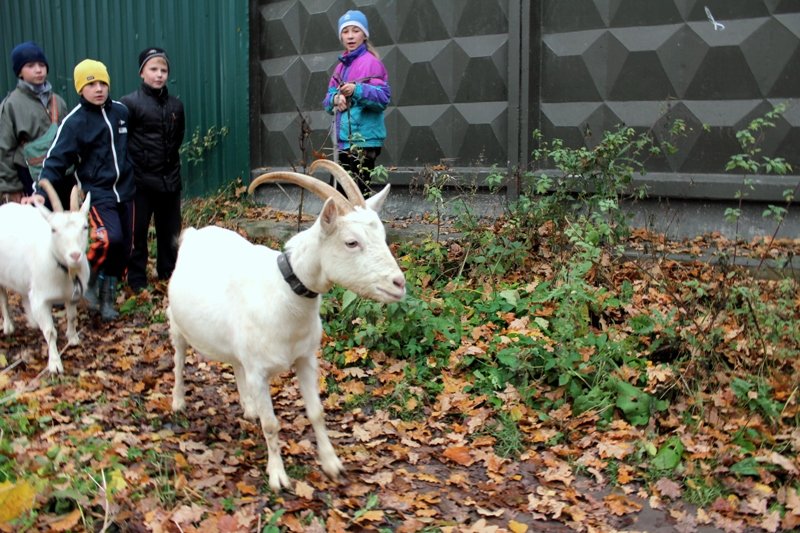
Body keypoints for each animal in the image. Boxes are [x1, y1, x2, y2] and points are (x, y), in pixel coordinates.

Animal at [0, 181, 91, 372]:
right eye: (53, 229)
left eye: (85, 227)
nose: (75, 255)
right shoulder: (41, 300)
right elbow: (50, 332)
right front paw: (55, 364)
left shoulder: (72, 296)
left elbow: (72, 316)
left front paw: (73, 339)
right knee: (3, 297)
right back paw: (8, 326)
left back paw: (32, 321)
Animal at [169, 159, 406, 490]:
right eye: (351, 242)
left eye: (383, 236)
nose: (399, 283)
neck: (284, 292)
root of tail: (193, 233)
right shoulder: (259, 372)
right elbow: (272, 424)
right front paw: (278, 476)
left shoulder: (305, 358)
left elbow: (316, 412)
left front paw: (332, 465)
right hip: (175, 322)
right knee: (178, 358)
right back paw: (178, 402)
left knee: (235, 363)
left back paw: (249, 408)